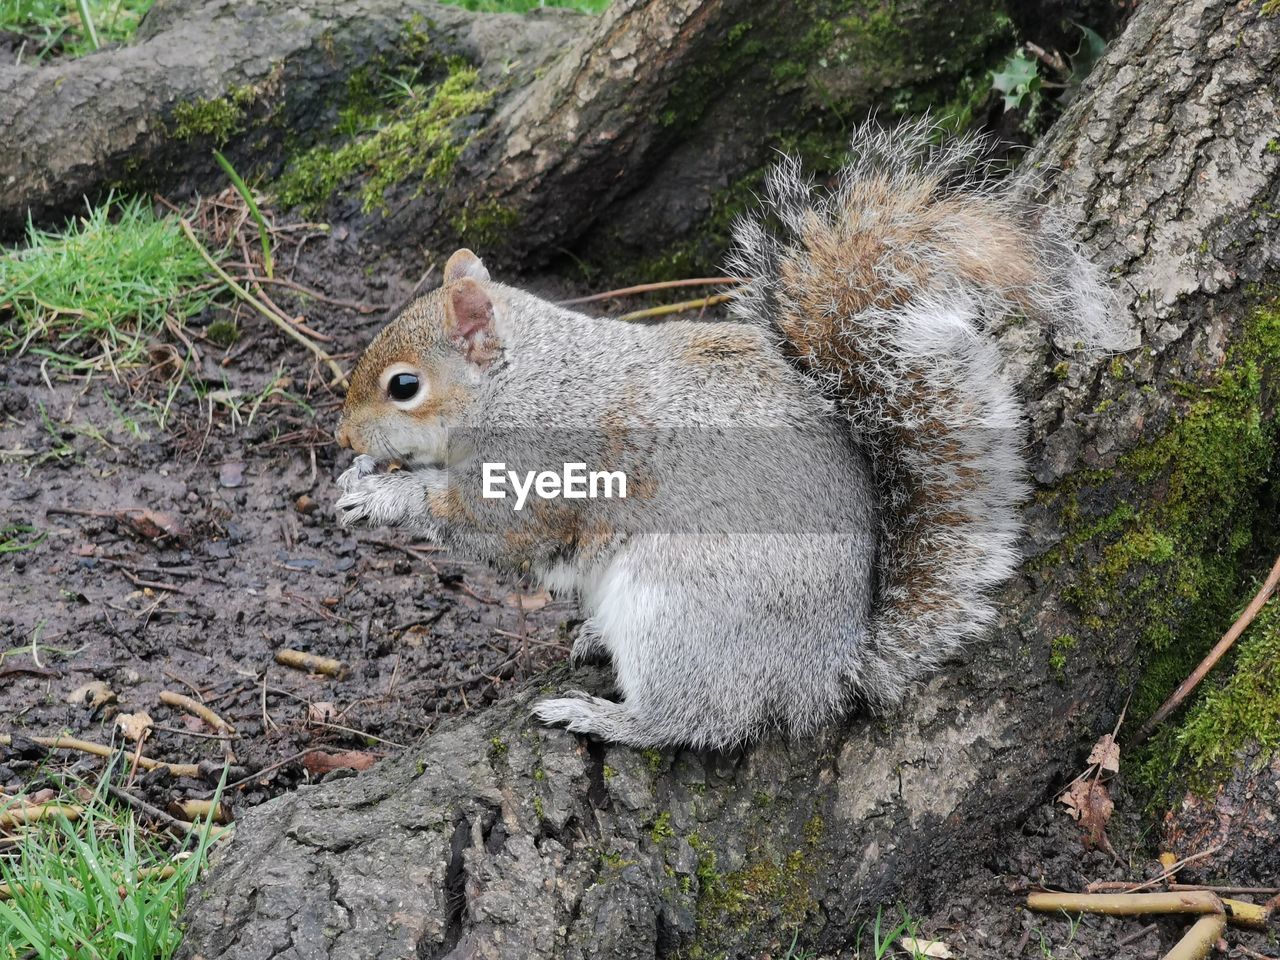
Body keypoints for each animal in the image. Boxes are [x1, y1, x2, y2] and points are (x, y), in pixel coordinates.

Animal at [332, 118, 1131, 752]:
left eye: (403, 387)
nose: (342, 436)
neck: (524, 379)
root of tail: (825, 670)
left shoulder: (543, 465)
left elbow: (495, 531)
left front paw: (386, 499)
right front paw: (360, 482)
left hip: (678, 616)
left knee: (695, 722)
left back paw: (606, 717)